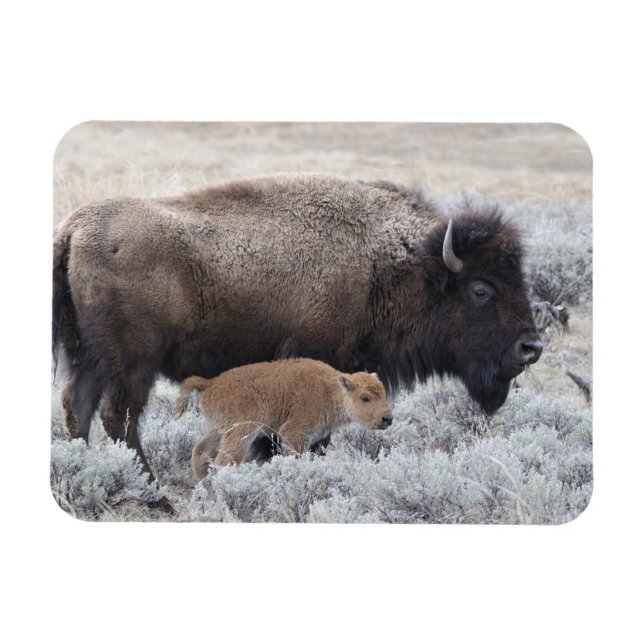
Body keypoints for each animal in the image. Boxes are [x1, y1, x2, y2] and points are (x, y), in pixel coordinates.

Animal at [178, 358, 393, 480]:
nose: (387, 418)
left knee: (200, 453)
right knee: (224, 462)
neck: (331, 390)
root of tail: (212, 382)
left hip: (218, 430)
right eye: (365, 397)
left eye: (383, 392)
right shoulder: (295, 433)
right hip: (240, 432)